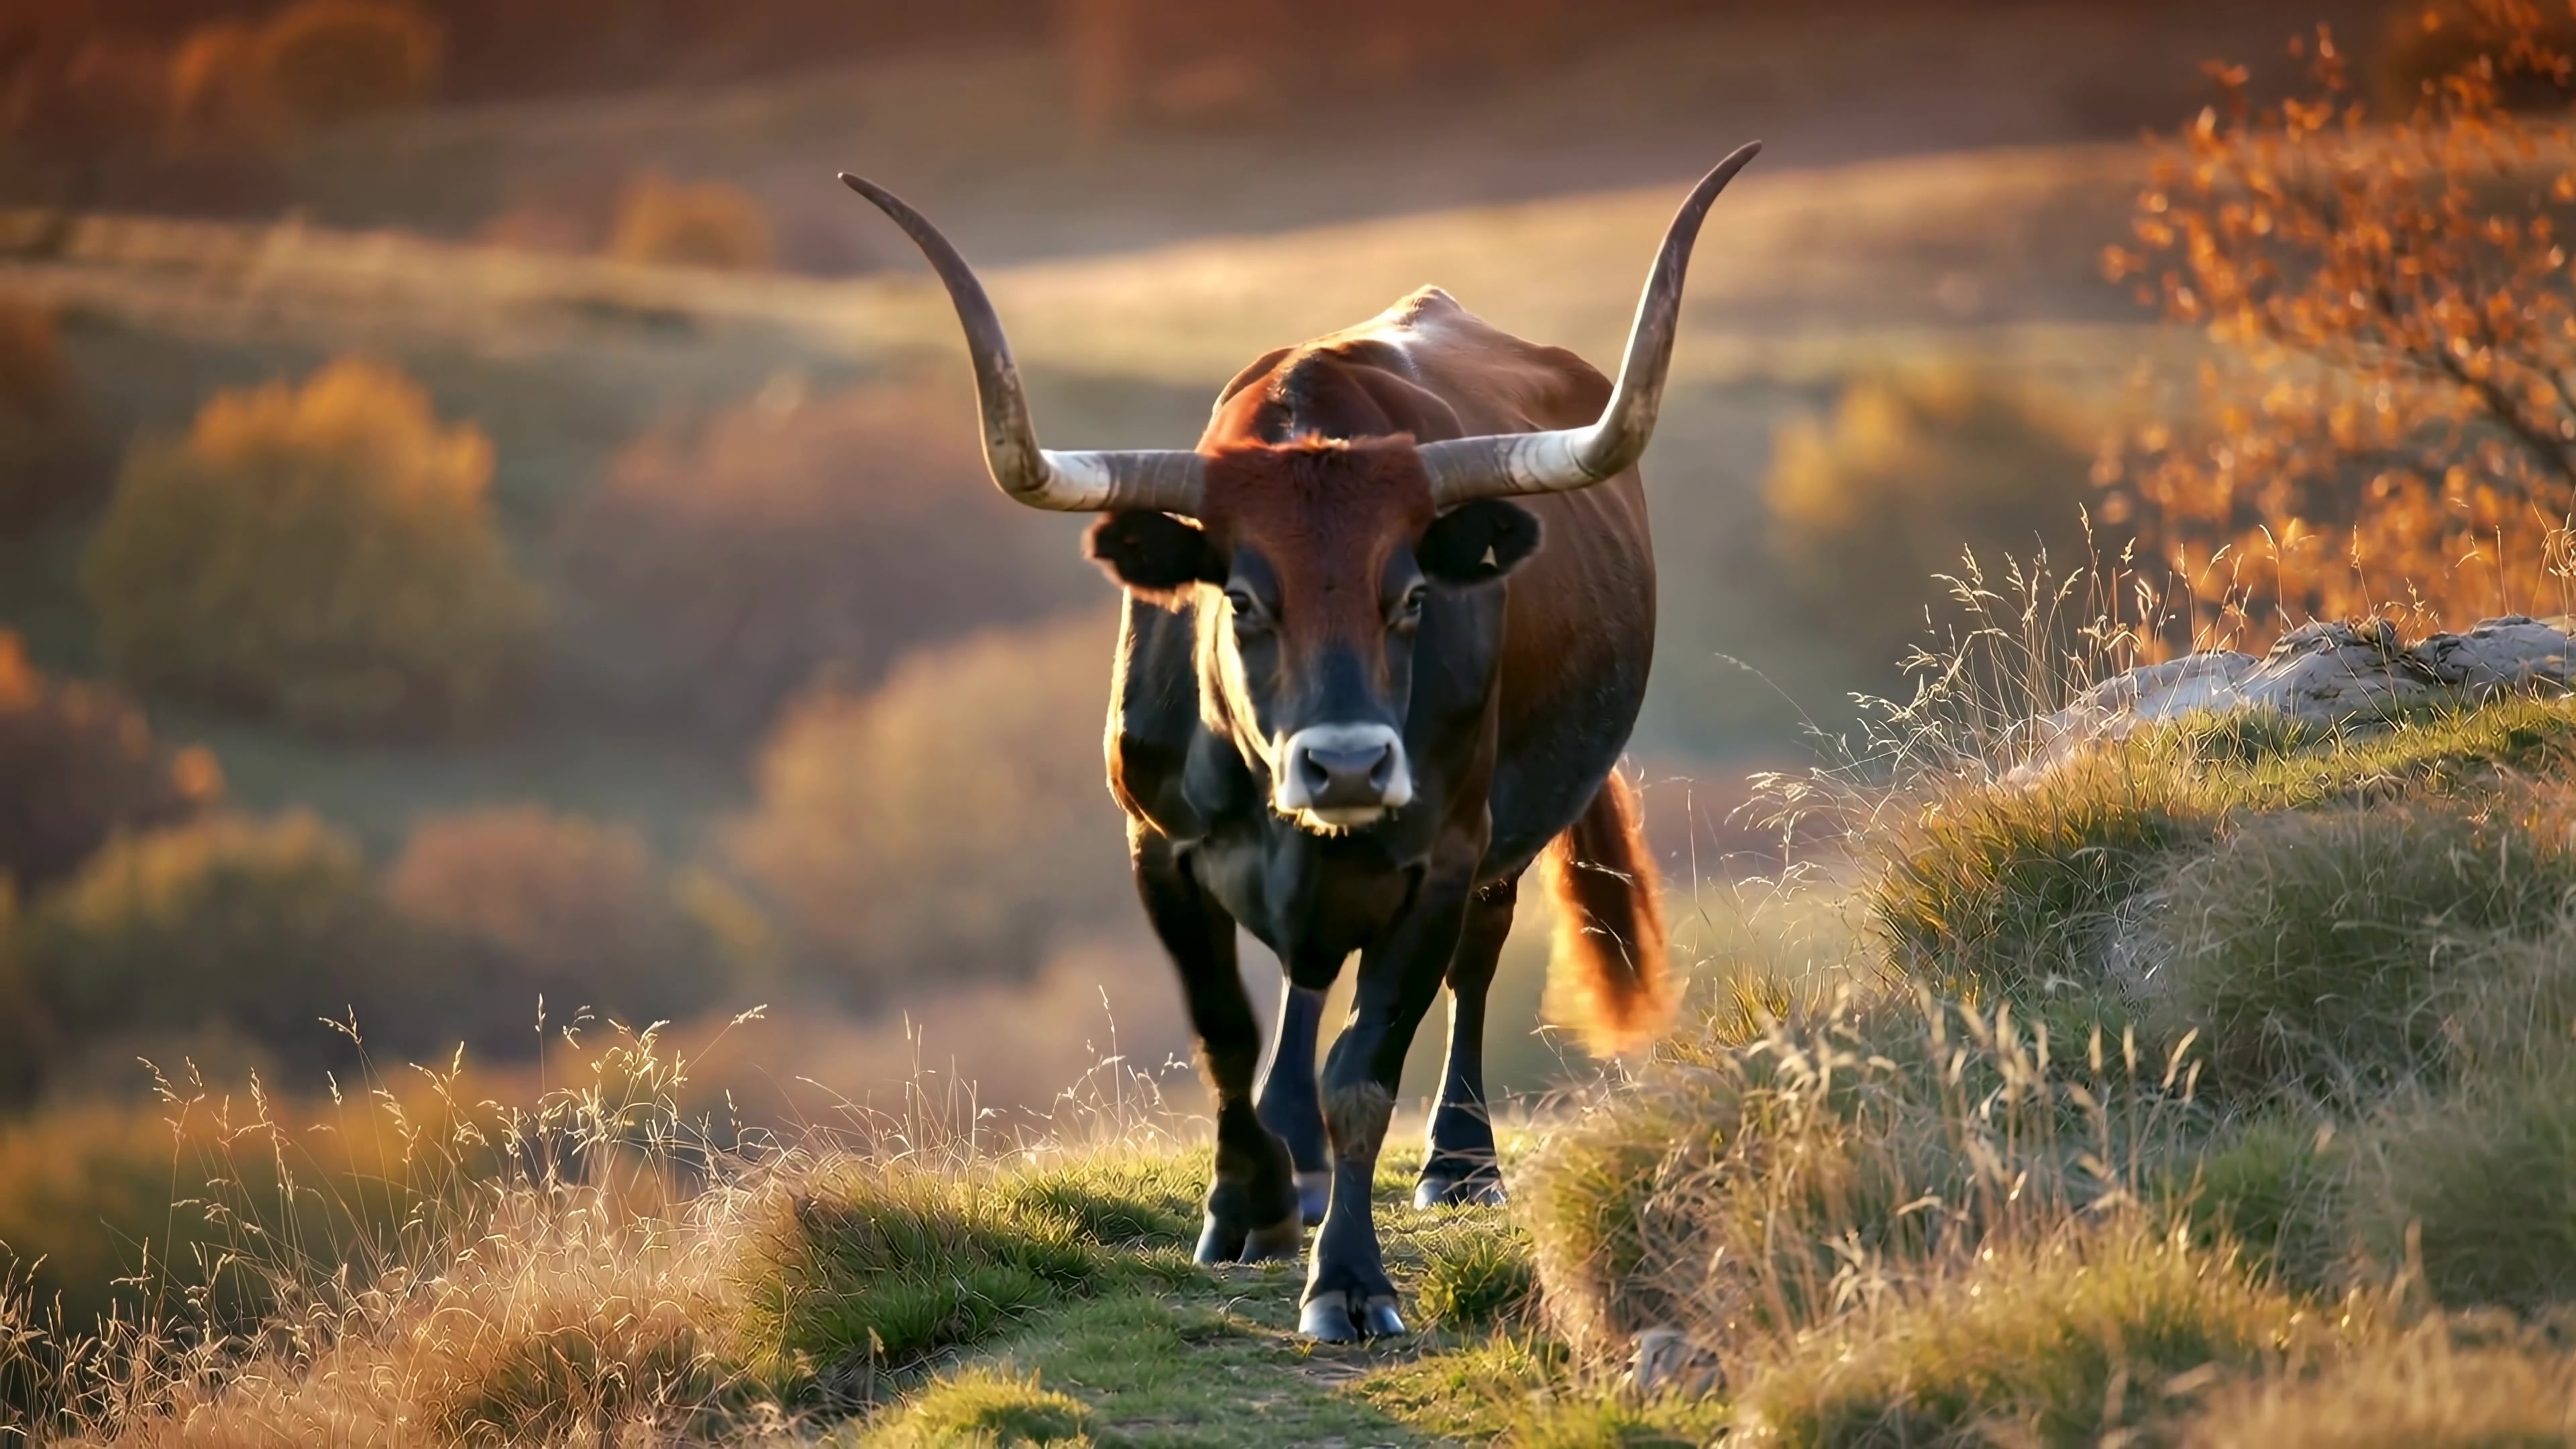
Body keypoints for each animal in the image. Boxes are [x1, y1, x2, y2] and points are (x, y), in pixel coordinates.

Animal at [838, 143, 1758, 1341]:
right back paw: (1299, 1161)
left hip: (1493, 839)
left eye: (1411, 596)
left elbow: (1366, 1072)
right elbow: (1225, 1033)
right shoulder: (1157, 849)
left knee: (1473, 963)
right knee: (1307, 975)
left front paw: (1350, 1279)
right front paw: (1252, 1209)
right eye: (1239, 599)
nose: (1350, 764)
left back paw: (1457, 1160)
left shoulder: (1439, 857)